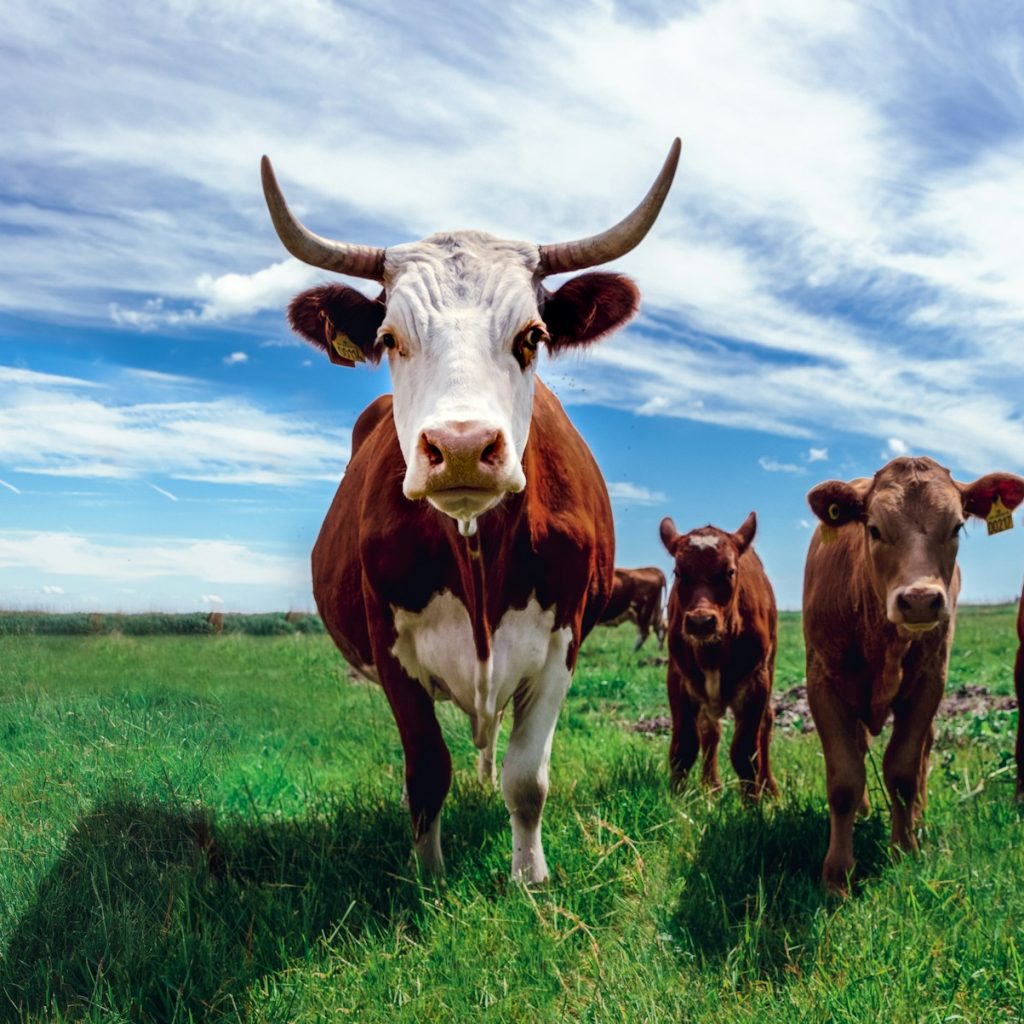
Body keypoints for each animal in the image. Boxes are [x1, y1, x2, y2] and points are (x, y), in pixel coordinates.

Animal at [262, 140, 679, 884]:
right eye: (390, 338)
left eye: (532, 336)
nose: (459, 448)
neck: (478, 552)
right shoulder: (389, 648)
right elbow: (427, 772)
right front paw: (429, 876)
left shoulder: (563, 640)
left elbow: (527, 777)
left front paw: (530, 878)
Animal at [655, 512, 774, 798]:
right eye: (679, 572)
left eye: (729, 571)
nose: (701, 621)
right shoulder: (678, 679)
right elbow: (684, 747)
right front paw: (677, 799)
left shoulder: (757, 682)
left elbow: (745, 752)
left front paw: (752, 804)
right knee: (710, 729)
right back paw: (711, 786)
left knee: (766, 724)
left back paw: (769, 788)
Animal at [802, 456, 1024, 888]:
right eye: (873, 528)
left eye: (956, 526)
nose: (920, 600)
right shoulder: (823, 682)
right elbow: (844, 779)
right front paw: (837, 874)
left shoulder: (928, 682)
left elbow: (903, 771)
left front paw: (904, 850)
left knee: (923, 752)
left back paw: (918, 817)